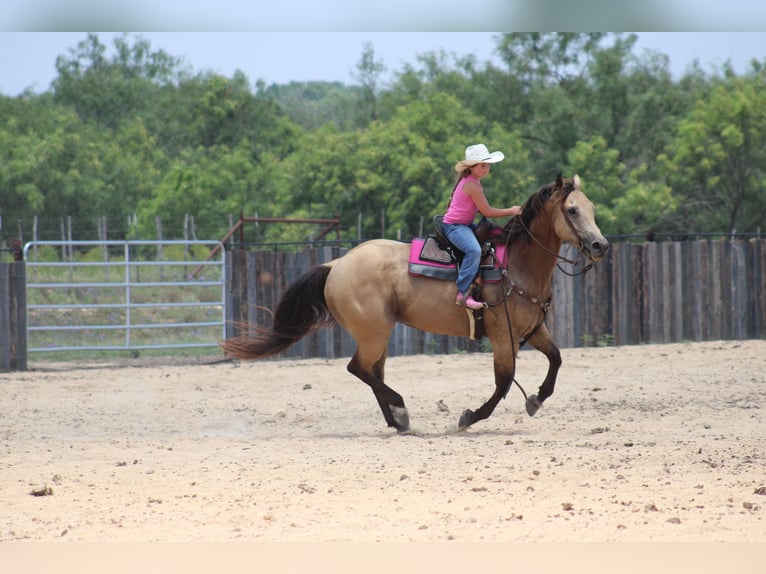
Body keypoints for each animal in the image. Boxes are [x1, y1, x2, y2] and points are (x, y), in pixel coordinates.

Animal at [220, 174, 608, 432]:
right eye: (572, 210)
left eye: (591, 208)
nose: (600, 245)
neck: (516, 264)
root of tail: (337, 265)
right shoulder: (503, 335)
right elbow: (504, 381)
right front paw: (469, 417)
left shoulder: (534, 327)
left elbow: (556, 359)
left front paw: (536, 399)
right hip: (373, 332)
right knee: (359, 369)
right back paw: (401, 409)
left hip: (378, 334)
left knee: (371, 372)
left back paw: (397, 420)